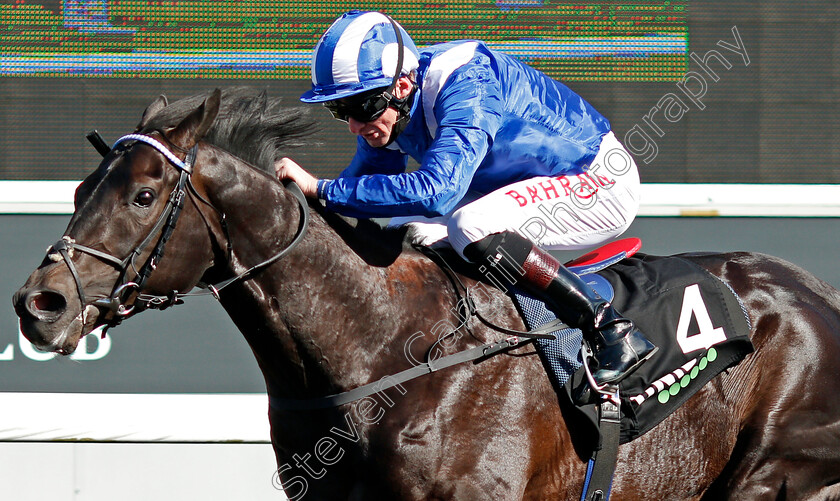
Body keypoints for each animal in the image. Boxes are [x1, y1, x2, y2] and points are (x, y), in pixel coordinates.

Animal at [9, 88, 840, 498]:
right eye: (81, 189)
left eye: (145, 195)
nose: (40, 304)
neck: (381, 347)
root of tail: (814, 290)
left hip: (772, 474)